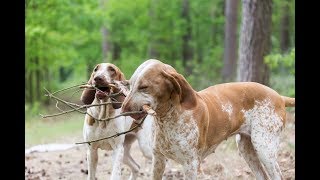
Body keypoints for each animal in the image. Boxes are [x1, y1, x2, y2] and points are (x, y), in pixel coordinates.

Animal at [122, 59, 296, 180]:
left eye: (144, 87)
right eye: (130, 84)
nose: (123, 109)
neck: (168, 117)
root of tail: (279, 97)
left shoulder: (191, 165)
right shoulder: (158, 160)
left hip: (264, 148)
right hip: (247, 149)